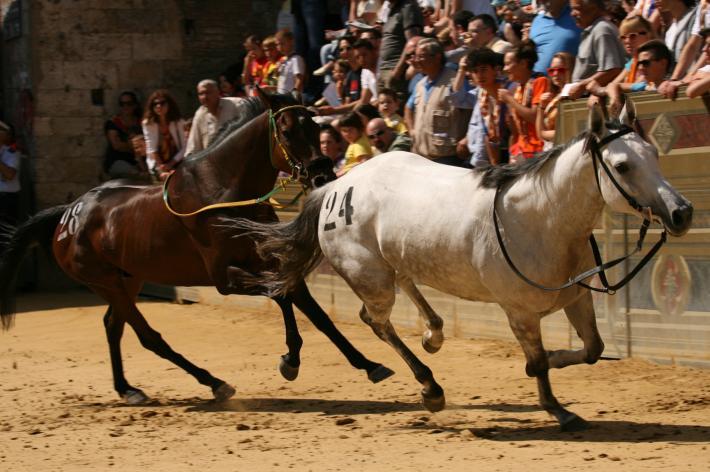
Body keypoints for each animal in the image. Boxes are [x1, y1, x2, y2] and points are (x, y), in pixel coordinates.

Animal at [0, 89, 394, 406]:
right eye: (286, 130)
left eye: (314, 126)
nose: (323, 174)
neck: (222, 192)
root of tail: (68, 215)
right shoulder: (225, 277)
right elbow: (280, 295)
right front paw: (290, 360)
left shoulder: (267, 261)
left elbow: (313, 311)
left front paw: (369, 364)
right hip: (104, 281)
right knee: (147, 336)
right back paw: (213, 382)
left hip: (128, 278)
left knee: (113, 326)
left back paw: (128, 389)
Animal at [227, 104, 696, 432]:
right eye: (622, 166)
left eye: (654, 154)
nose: (681, 213)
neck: (539, 218)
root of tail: (334, 188)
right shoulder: (520, 313)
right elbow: (540, 361)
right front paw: (558, 410)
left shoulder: (576, 298)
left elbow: (593, 349)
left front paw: (553, 367)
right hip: (370, 277)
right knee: (375, 321)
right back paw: (429, 387)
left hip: (395, 258)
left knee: (407, 286)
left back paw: (433, 334)